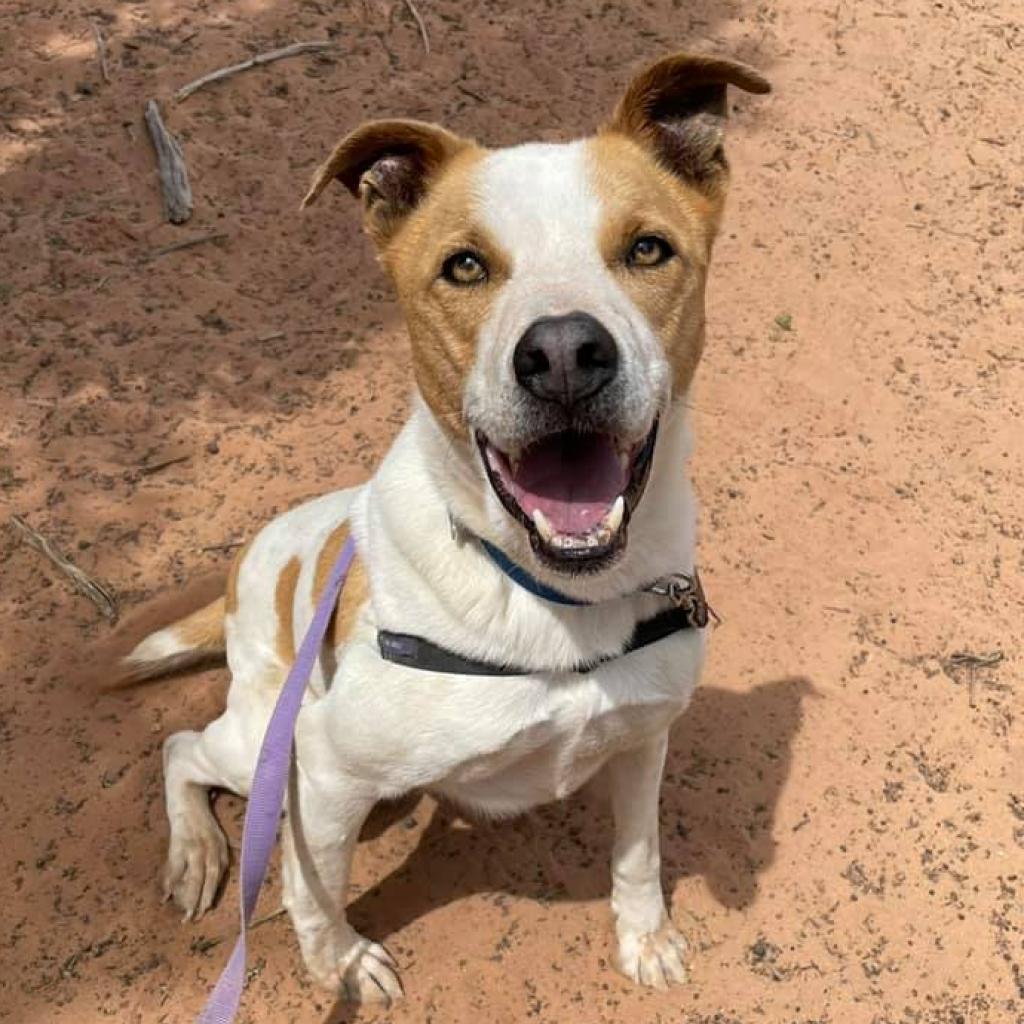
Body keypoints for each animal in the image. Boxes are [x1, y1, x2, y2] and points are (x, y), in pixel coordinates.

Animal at [117, 54, 770, 999]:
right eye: (464, 266)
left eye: (648, 248)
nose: (564, 354)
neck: (549, 600)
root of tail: (244, 569)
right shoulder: (325, 769)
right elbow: (314, 894)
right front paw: (342, 965)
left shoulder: (645, 736)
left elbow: (639, 851)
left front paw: (644, 937)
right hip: (262, 742)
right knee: (181, 748)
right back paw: (198, 852)